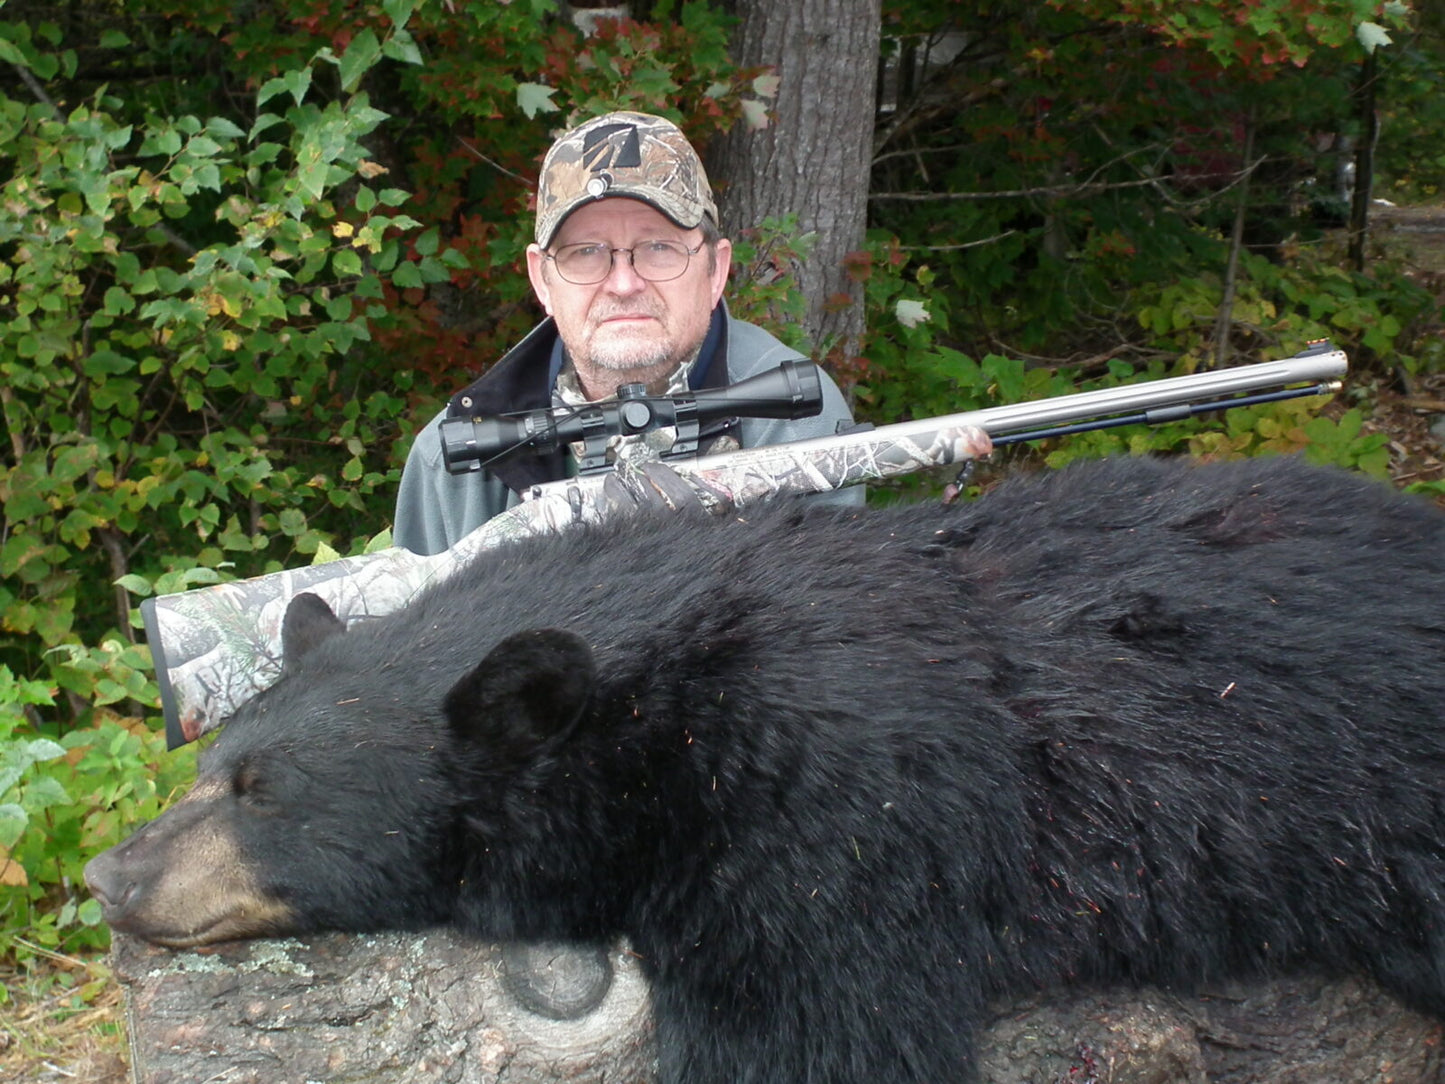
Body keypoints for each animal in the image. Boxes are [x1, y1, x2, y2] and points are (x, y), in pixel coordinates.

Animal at [85, 454, 1445, 1083]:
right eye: (219, 762)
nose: (107, 874)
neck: (659, 709)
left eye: (266, 793)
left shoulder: (837, 817)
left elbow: (815, 1033)